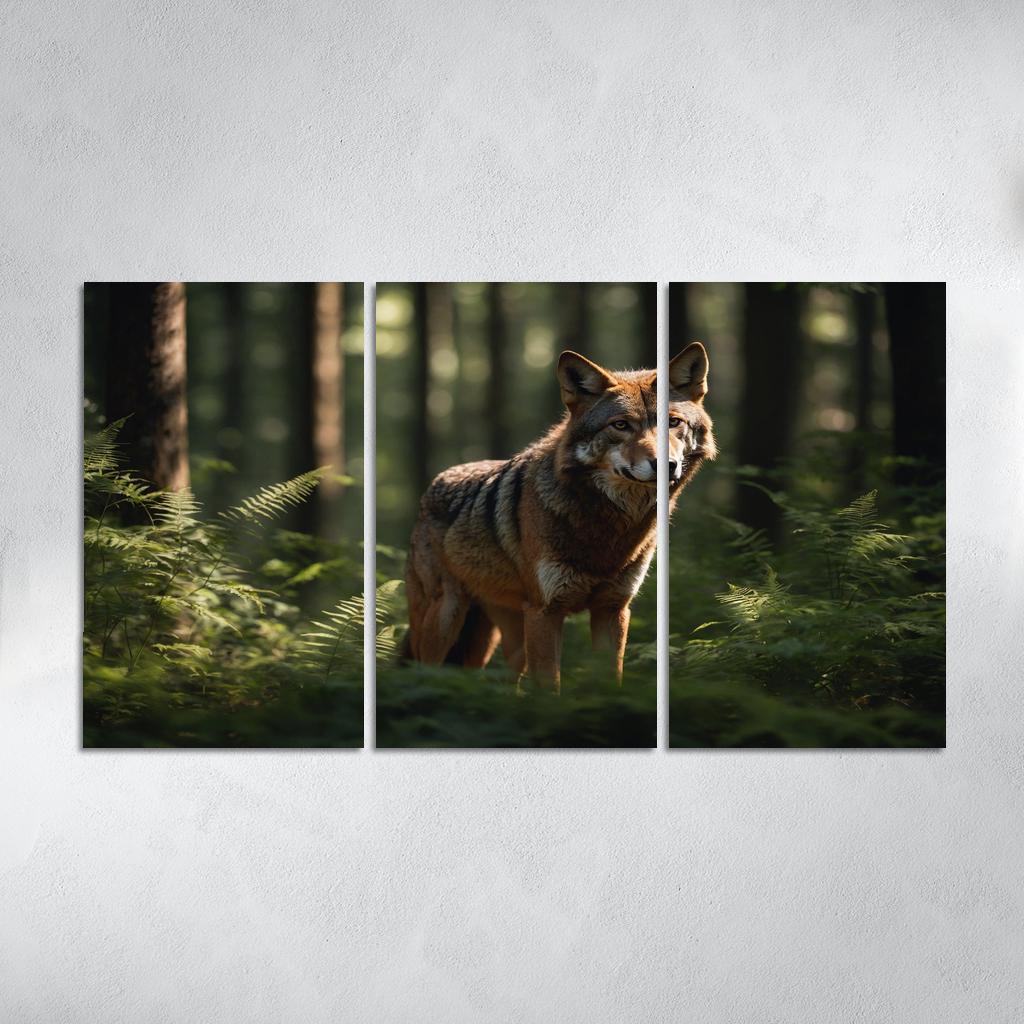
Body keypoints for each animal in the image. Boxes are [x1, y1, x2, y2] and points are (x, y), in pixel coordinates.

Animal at [403, 343, 716, 687]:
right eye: (621, 425)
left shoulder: (612, 609)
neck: (607, 529)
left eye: (673, 422)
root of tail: (433, 485)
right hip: (445, 621)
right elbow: (549, 687)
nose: (666, 465)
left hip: (501, 640)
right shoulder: (545, 611)